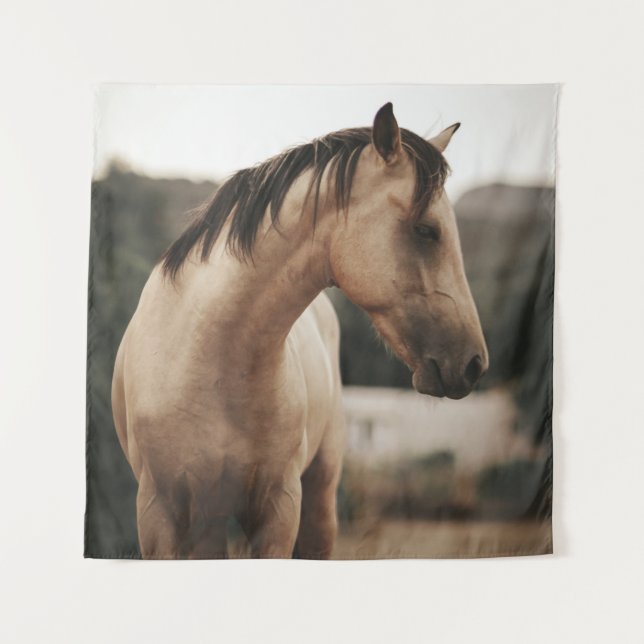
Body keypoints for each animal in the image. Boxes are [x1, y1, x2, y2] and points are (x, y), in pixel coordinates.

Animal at [111, 102, 489, 559]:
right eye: (426, 230)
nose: (474, 363)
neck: (205, 355)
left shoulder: (278, 510)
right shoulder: (160, 515)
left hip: (318, 497)